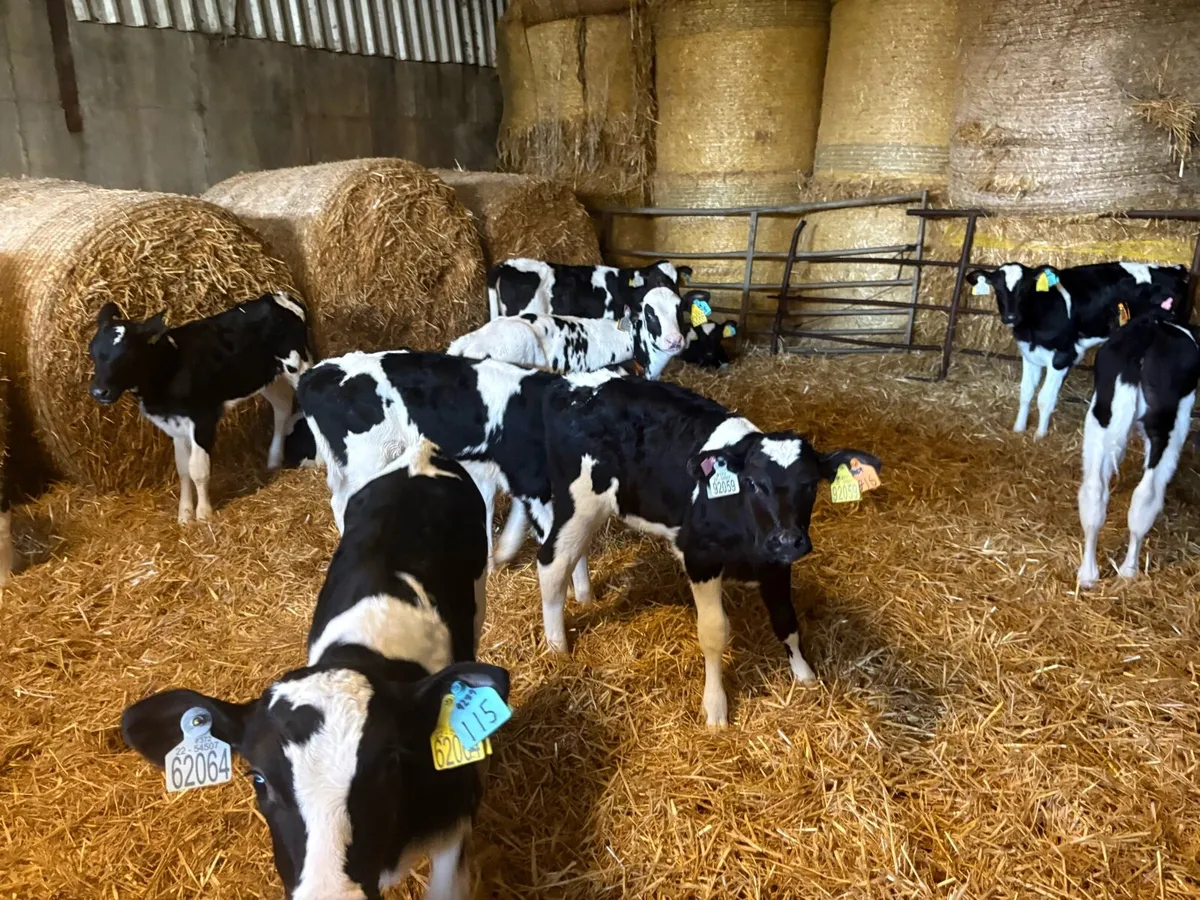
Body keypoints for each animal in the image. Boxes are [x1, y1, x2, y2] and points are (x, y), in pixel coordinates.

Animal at [87, 292, 314, 523]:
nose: (99, 392)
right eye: (92, 351)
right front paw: (185, 514)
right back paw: (274, 458)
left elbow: (198, 468)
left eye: (128, 354)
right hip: (265, 377)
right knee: (282, 408)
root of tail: (277, 296)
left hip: (297, 364)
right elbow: (183, 469)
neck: (169, 367)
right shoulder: (175, 425)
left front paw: (204, 513)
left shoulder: (204, 418)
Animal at [293, 351, 612, 603]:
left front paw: (498, 558)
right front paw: (577, 594)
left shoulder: (515, 478)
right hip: (367, 459)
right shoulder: (532, 482)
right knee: (345, 502)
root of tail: (317, 372)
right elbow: (557, 539)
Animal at [534, 375, 881, 727]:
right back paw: (557, 648)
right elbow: (714, 633)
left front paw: (804, 675)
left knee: (574, 553)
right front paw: (715, 709)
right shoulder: (701, 558)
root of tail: (575, 384)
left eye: (810, 484)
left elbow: (786, 620)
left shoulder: (776, 563)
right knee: (551, 563)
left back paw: (584, 597)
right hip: (578, 501)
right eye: (753, 483)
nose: (787, 539)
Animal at [967, 261, 1190, 438]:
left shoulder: (1062, 357)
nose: (1011, 317)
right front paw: (1019, 428)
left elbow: (1044, 399)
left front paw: (1040, 435)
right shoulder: (1029, 356)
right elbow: (1026, 393)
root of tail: (1175, 269)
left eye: (1026, 289)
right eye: (997, 288)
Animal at [1077, 313, 1199, 588]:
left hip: (1101, 415)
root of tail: (1147, 333)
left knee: (1094, 491)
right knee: (1147, 494)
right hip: (1169, 427)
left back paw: (1088, 575)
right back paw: (1129, 570)